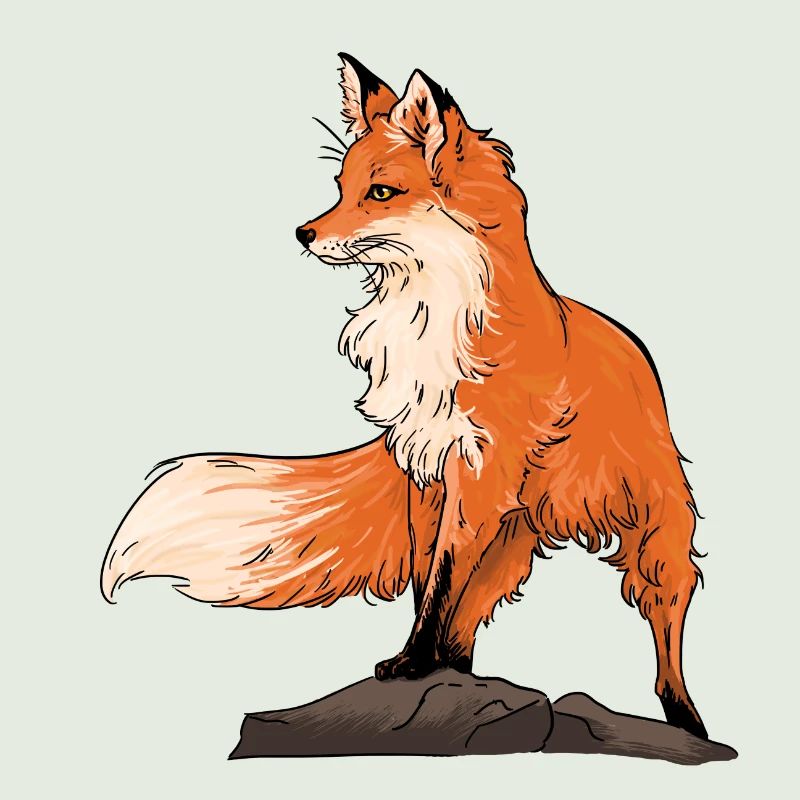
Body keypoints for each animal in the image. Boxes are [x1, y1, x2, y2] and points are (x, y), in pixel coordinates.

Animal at [101, 54, 709, 740]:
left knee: (665, 619)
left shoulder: (476, 475)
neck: (427, 321)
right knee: (470, 619)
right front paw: (419, 666)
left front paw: (415, 664)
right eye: (340, 185)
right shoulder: (426, 468)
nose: (302, 233)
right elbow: (429, 586)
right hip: (511, 536)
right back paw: (462, 672)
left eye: (381, 193)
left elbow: (440, 583)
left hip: (654, 525)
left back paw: (686, 717)